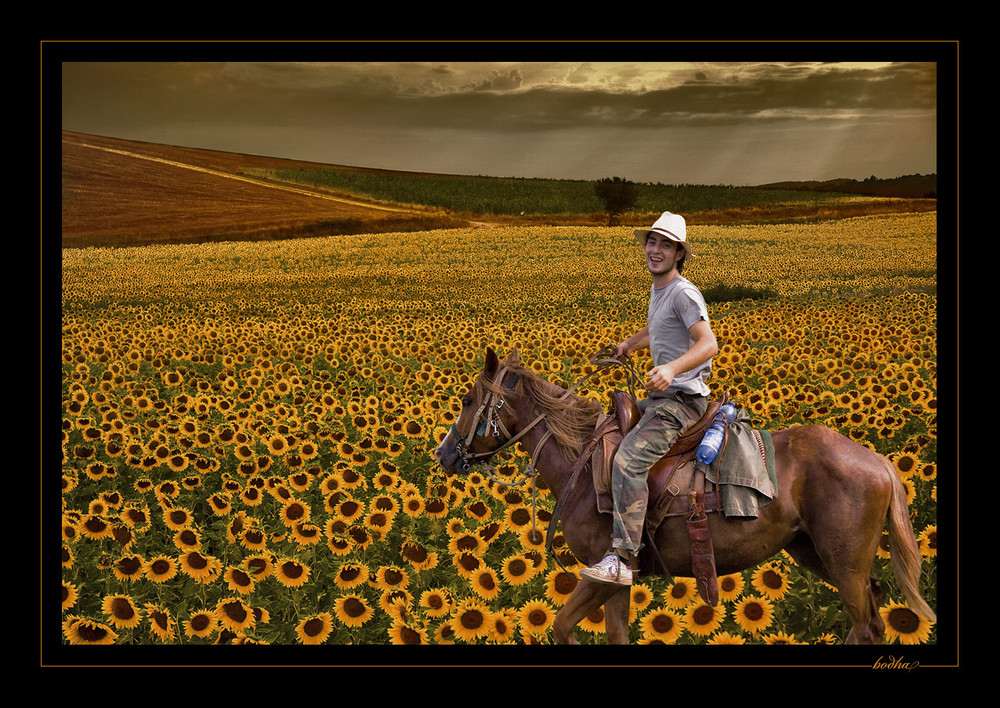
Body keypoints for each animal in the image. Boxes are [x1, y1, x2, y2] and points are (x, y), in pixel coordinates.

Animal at [432, 348, 936, 648]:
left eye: (467, 400)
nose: (442, 453)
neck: (581, 464)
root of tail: (879, 460)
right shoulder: (619, 580)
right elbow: (615, 635)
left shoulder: (602, 571)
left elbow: (560, 626)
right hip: (813, 552)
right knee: (869, 615)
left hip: (843, 561)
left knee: (866, 624)